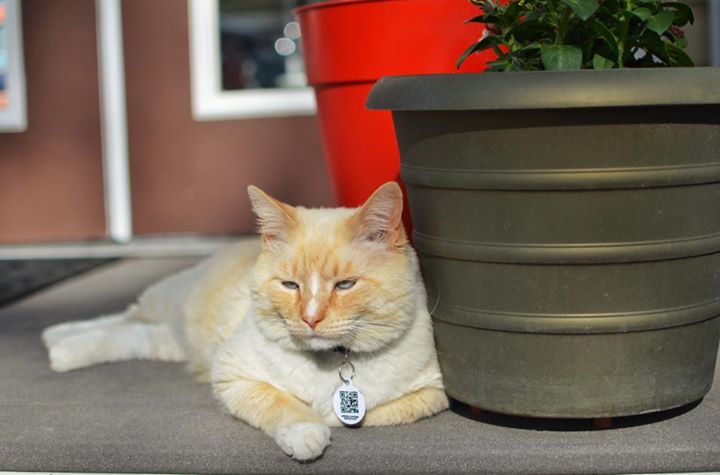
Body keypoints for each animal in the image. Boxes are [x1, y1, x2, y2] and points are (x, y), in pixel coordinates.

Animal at [40, 181, 450, 462]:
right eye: (290, 285)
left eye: (345, 285)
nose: (310, 317)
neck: (332, 360)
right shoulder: (233, 376)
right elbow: (281, 403)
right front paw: (305, 433)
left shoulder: (432, 394)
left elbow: (375, 413)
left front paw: (326, 418)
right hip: (168, 301)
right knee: (122, 316)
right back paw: (57, 337)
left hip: (172, 342)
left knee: (132, 334)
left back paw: (60, 348)